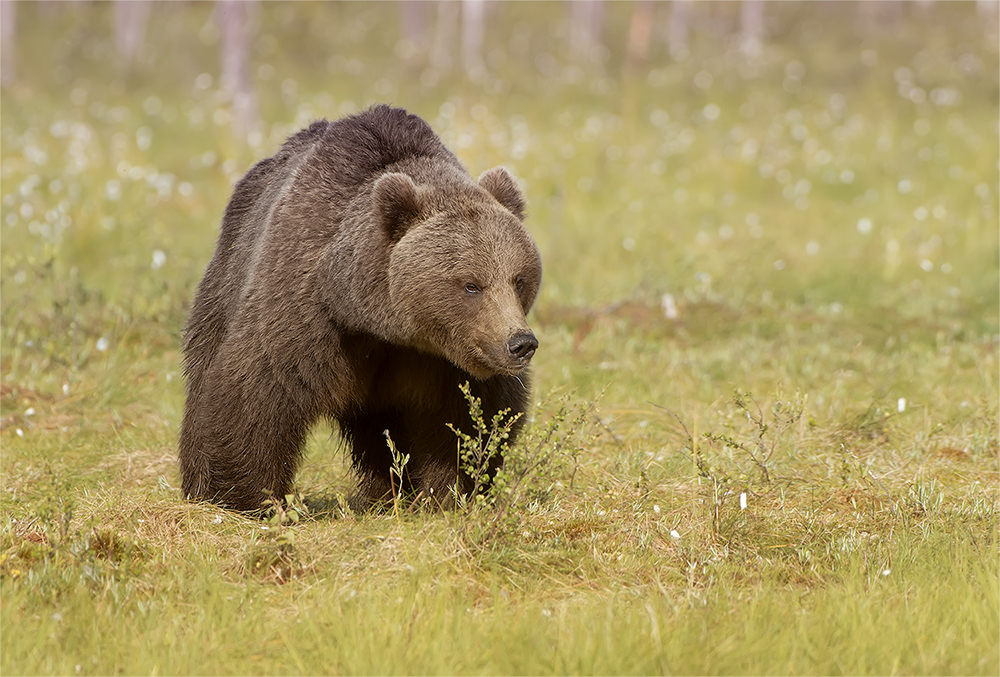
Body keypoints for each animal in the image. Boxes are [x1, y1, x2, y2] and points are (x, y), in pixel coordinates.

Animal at [178, 103, 540, 510]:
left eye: (519, 278)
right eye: (471, 284)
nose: (521, 343)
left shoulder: (448, 361)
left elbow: (472, 417)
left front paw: (448, 492)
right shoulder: (307, 312)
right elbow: (257, 390)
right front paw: (244, 496)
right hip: (226, 282)